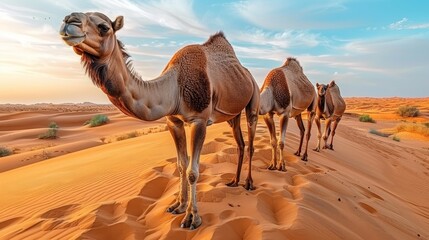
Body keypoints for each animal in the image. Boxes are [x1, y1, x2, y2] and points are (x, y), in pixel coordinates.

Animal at [58, 12, 260, 230]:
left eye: (104, 27)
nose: (69, 20)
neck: (174, 86)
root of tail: (247, 74)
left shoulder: (199, 120)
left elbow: (192, 171)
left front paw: (192, 218)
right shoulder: (174, 121)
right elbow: (181, 165)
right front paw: (178, 206)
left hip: (253, 101)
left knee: (251, 142)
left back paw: (249, 183)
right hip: (233, 115)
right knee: (240, 143)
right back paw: (234, 181)